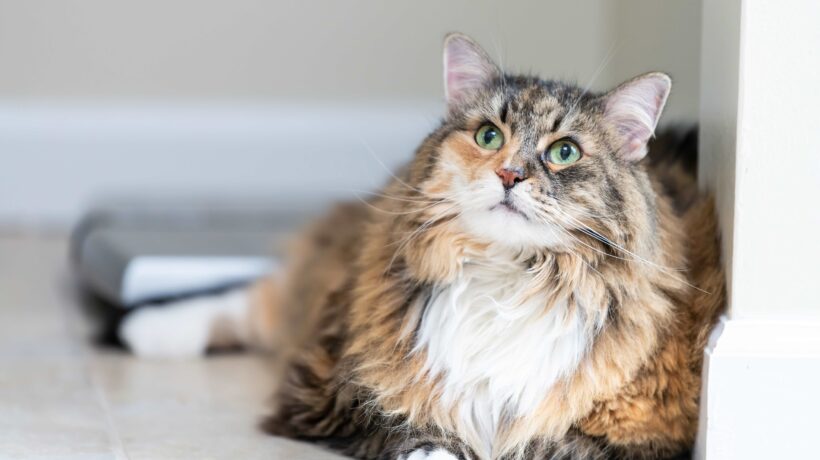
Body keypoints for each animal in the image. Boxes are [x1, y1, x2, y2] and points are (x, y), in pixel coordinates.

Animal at [120, 33, 724, 460]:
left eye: (565, 152)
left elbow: (544, 444)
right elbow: (417, 433)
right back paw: (145, 331)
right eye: (488, 136)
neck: (509, 277)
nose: (509, 174)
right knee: (261, 298)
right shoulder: (337, 391)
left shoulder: (627, 437)